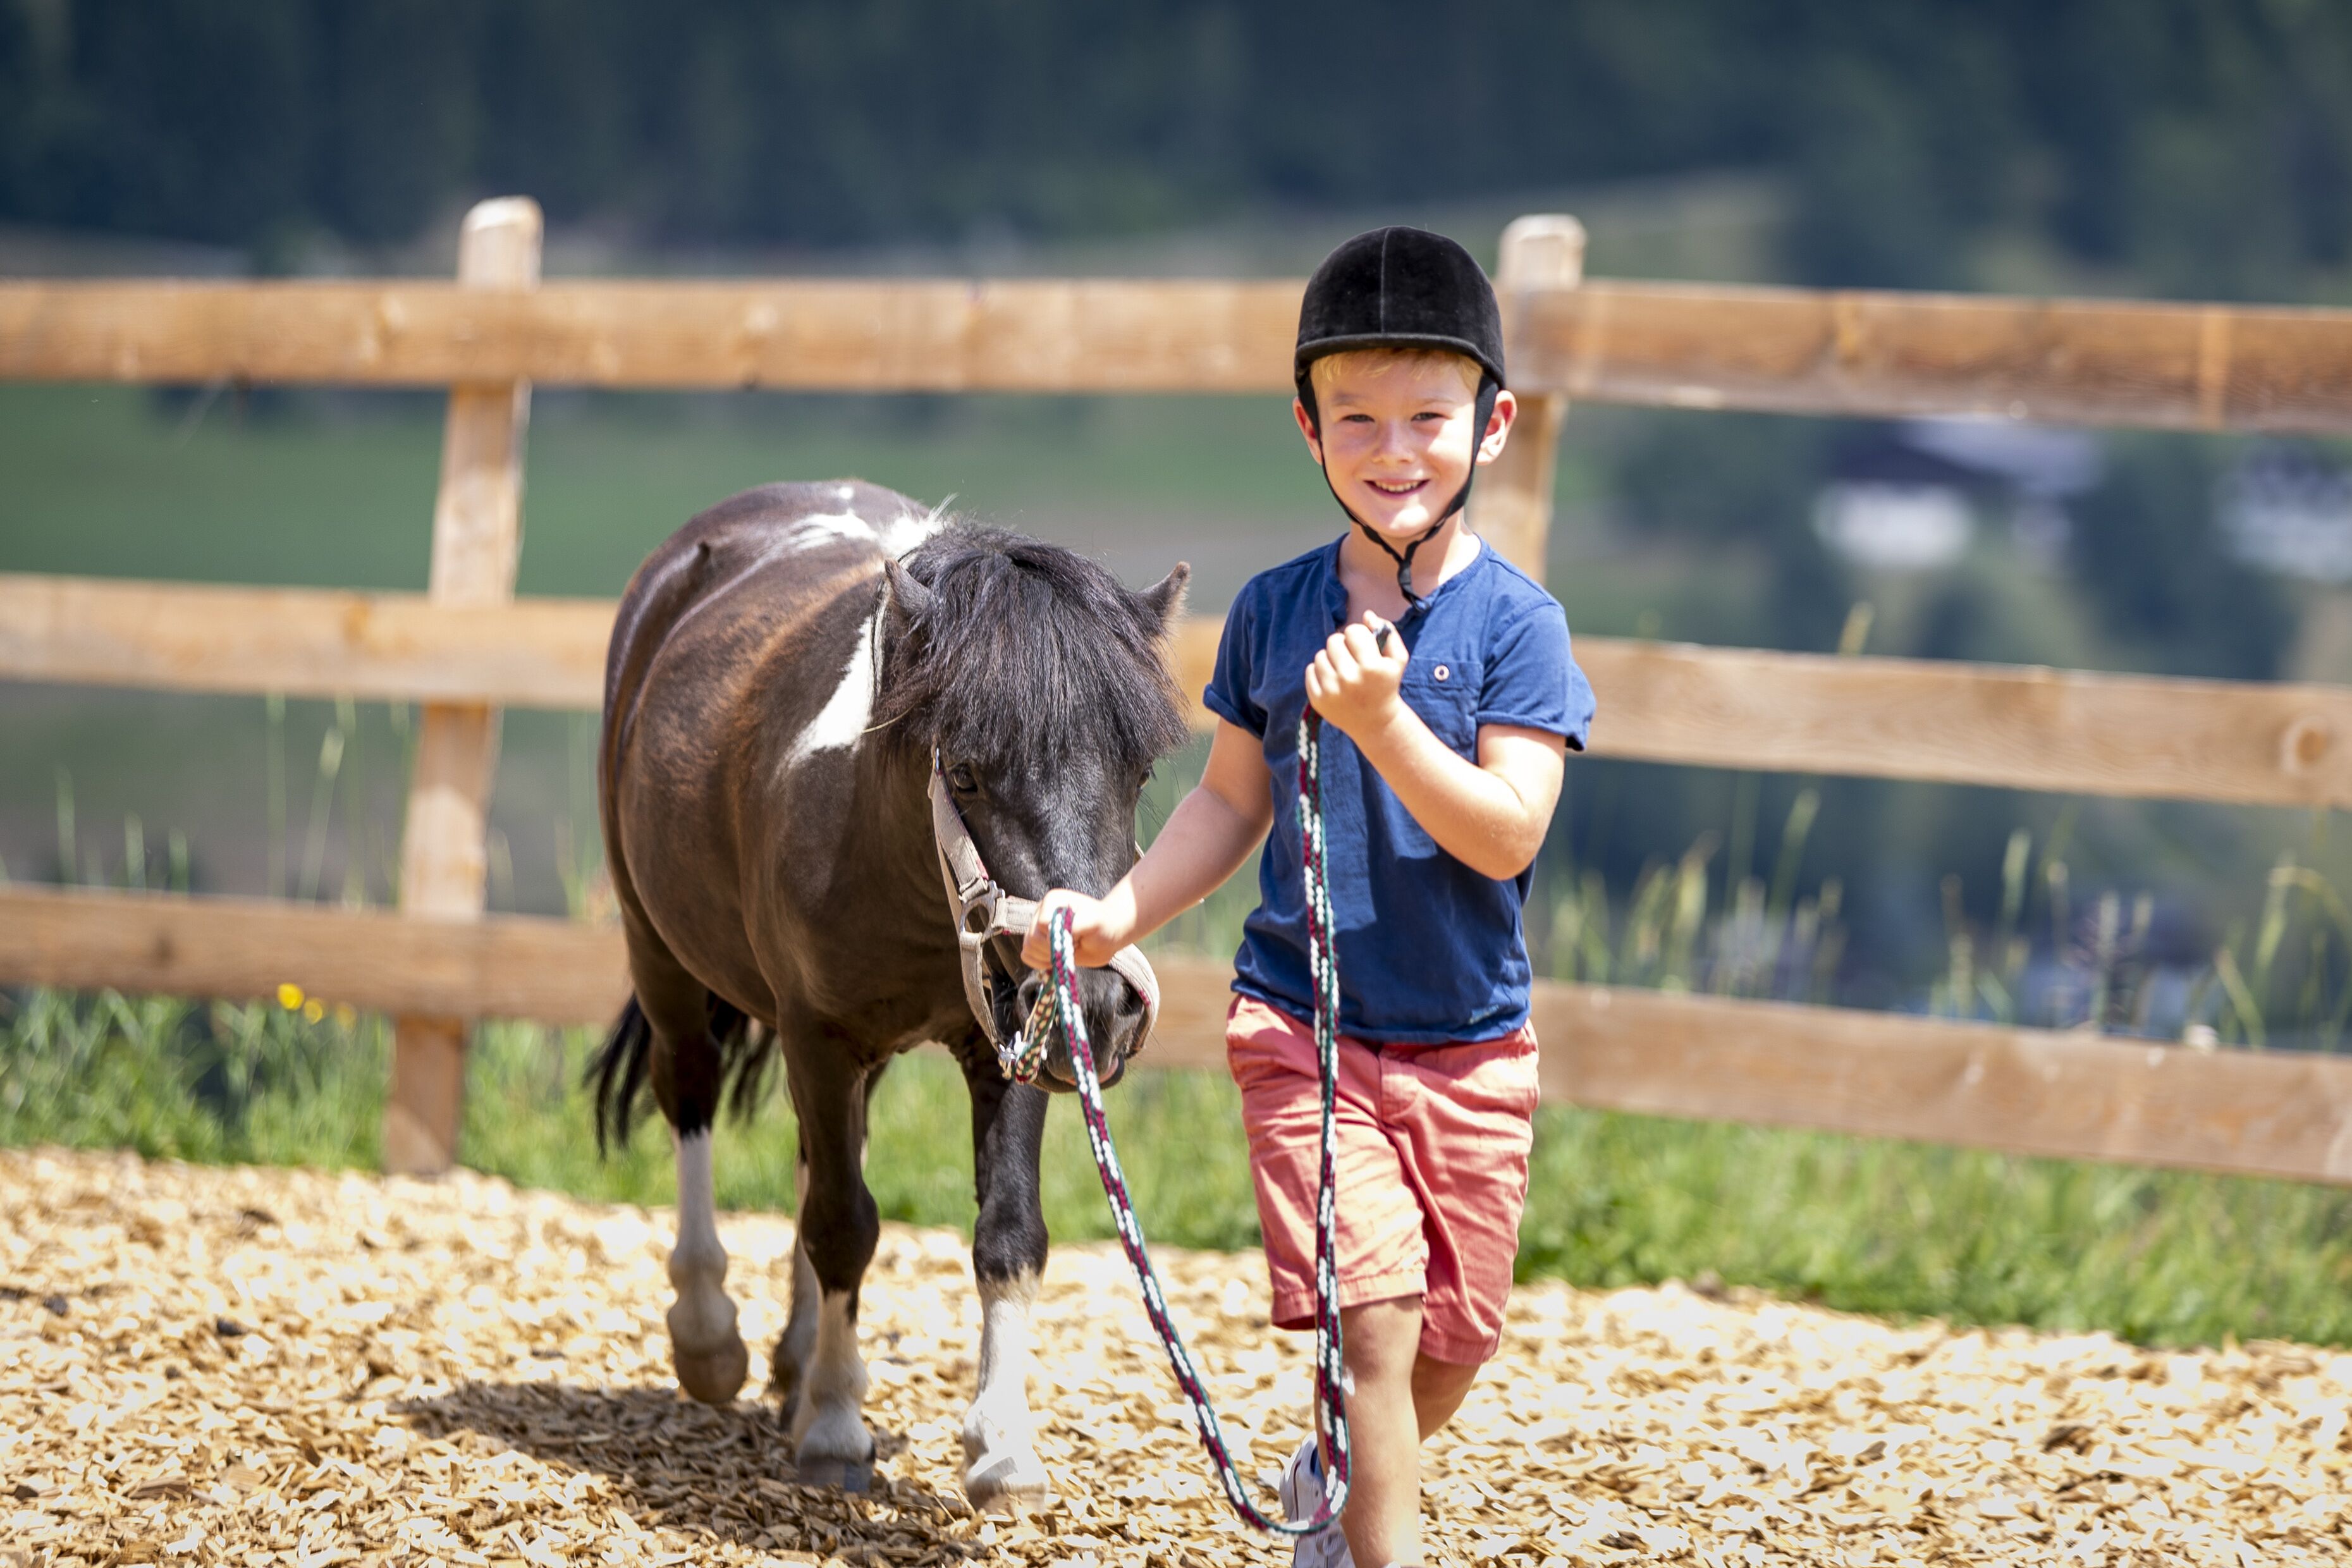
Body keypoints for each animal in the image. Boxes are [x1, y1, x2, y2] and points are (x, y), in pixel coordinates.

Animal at [587, 479, 1189, 1506]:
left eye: (1138, 772)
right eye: (966, 772)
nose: (1102, 1005)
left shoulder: (1011, 1039)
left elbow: (1007, 1231)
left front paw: (1001, 1444)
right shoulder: (818, 1033)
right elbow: (843, 1224)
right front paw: (835, 1427)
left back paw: (795, 1363)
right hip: (656, 947)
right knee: (692, 1093)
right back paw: (711, 1338)